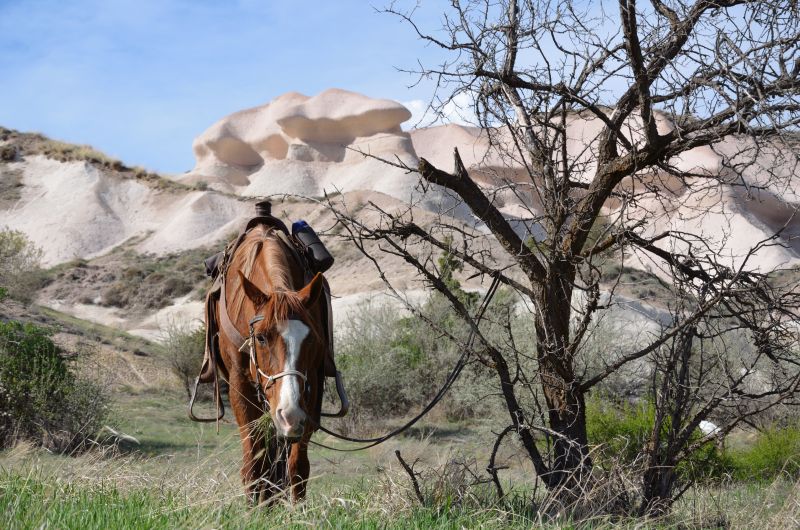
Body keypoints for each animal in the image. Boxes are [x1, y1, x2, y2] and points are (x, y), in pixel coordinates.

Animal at [212, 224, 328, 504]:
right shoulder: (240, 385)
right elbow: (255, 463)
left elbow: (297, 466)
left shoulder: (311, 383)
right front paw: (255, 509)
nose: (288, 413)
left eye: (311, 338)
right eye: (261, 337)